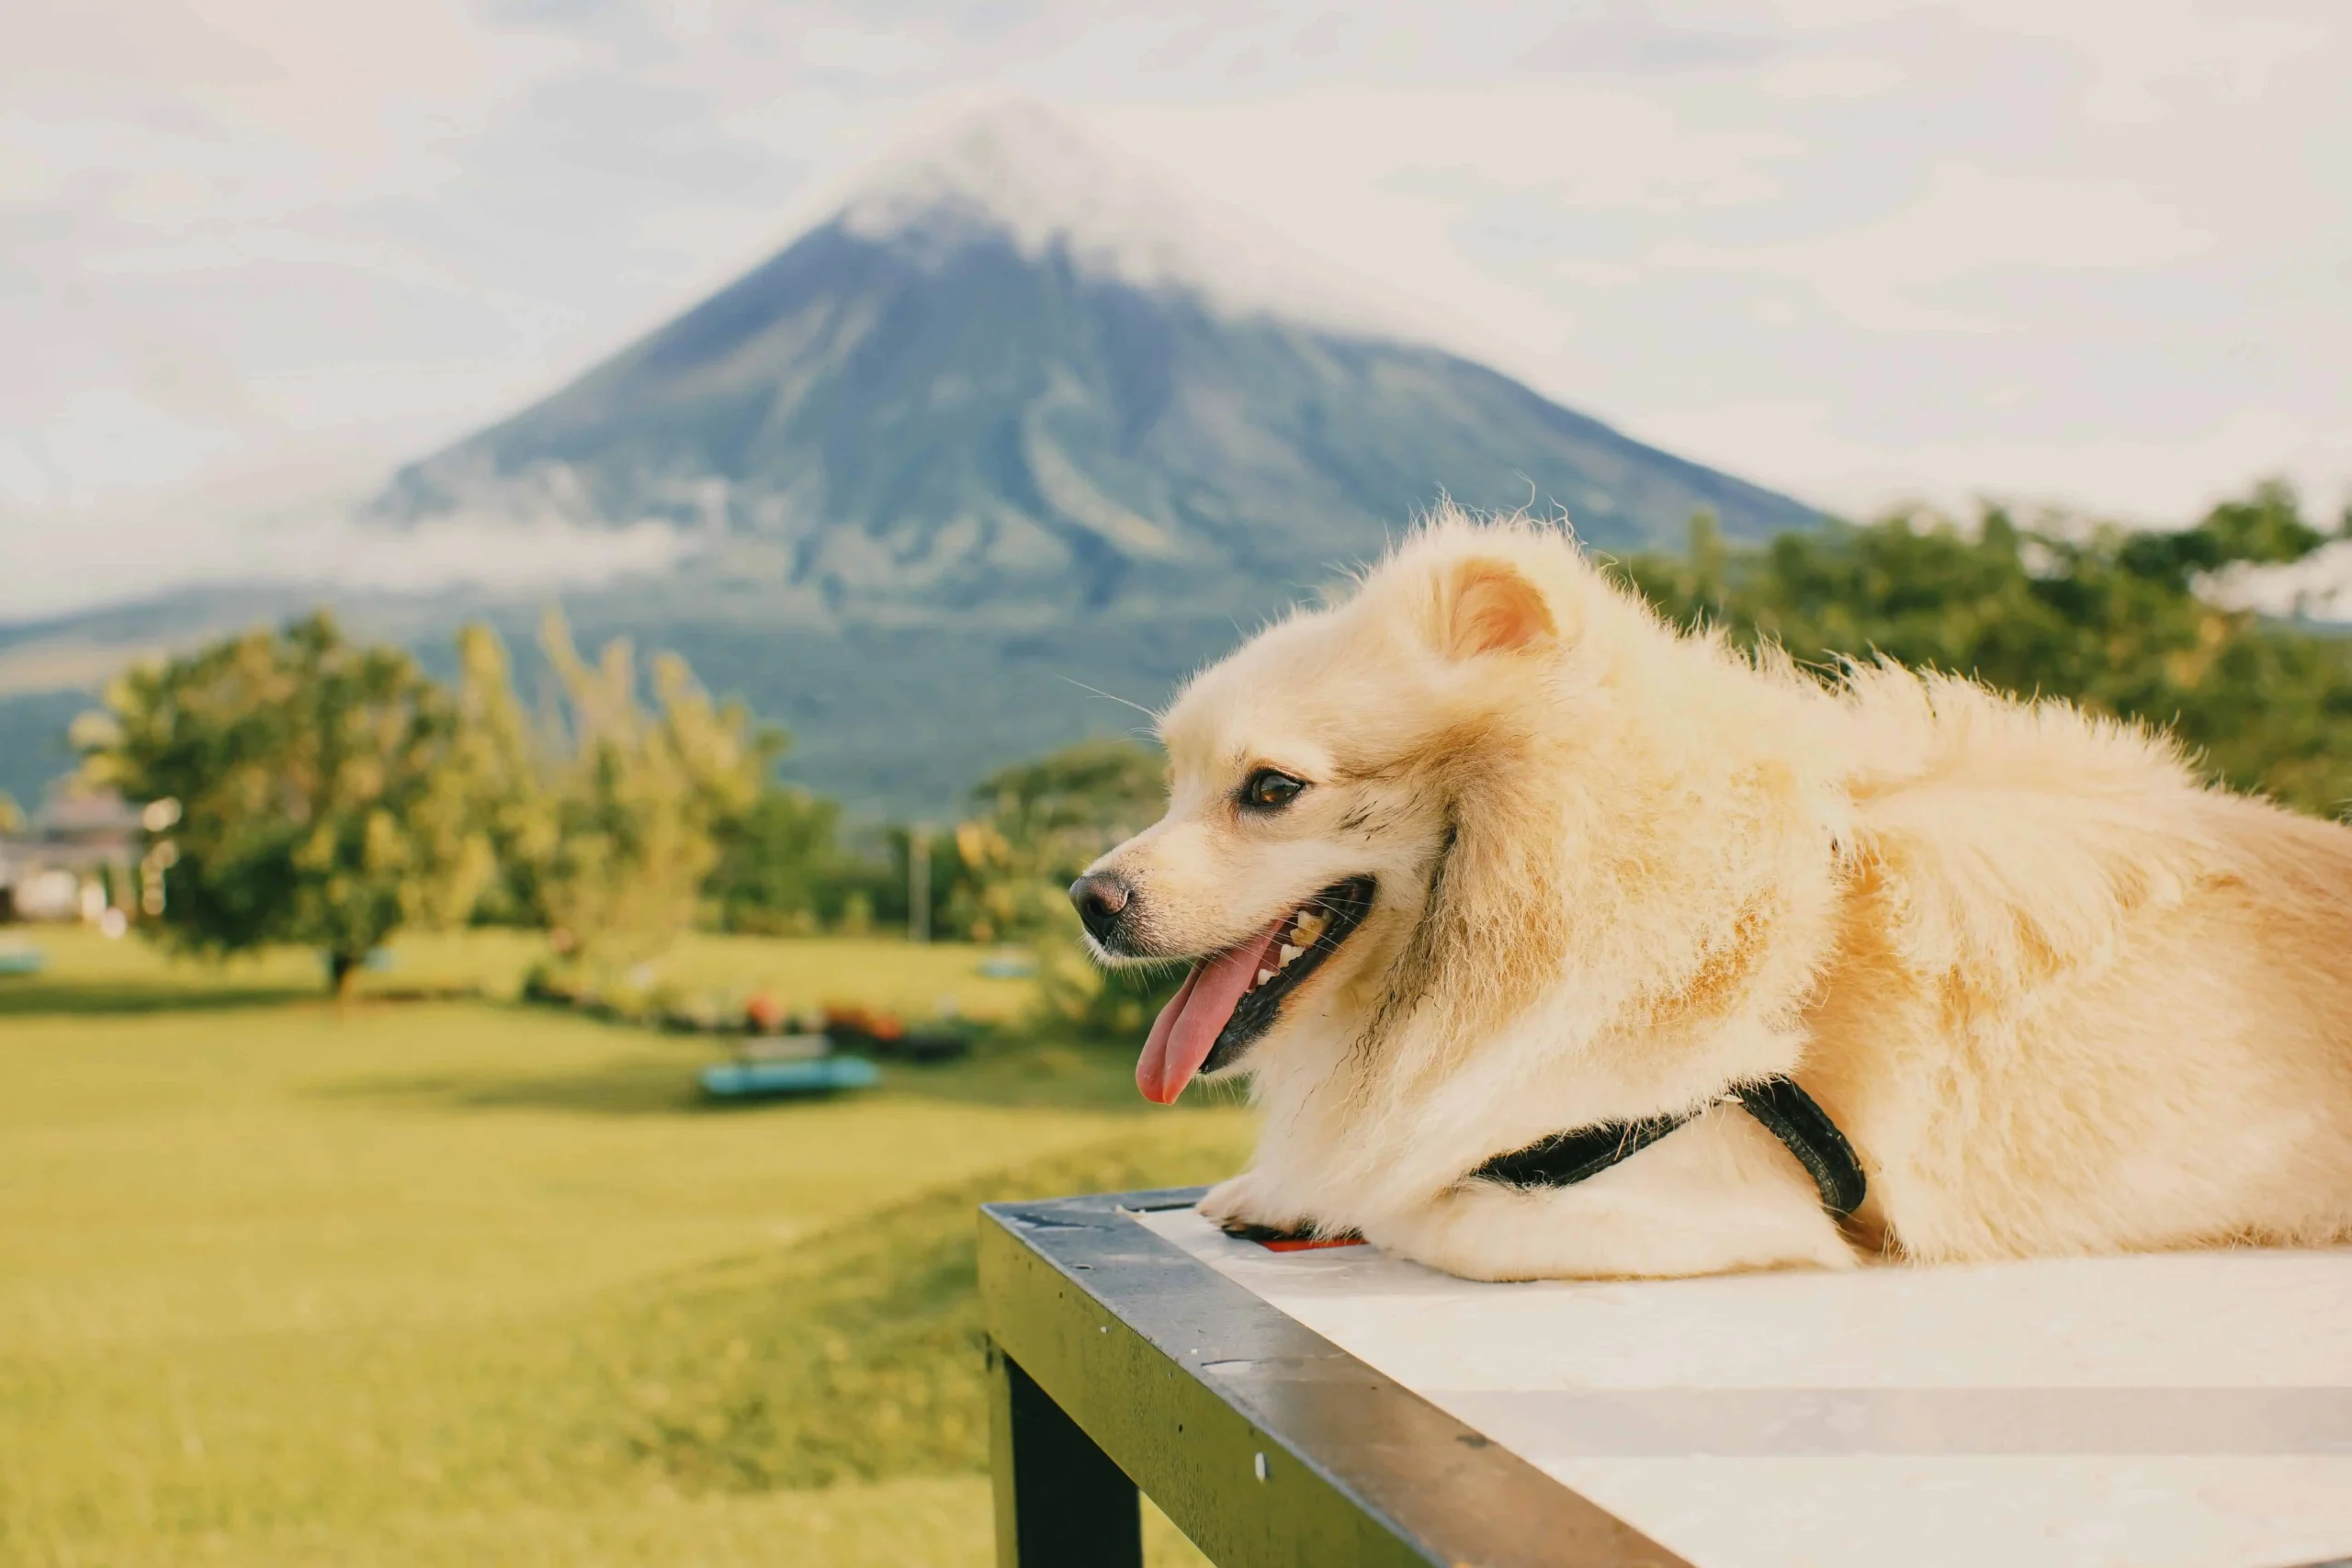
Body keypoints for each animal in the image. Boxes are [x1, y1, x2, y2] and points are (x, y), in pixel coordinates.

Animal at [1077, 510, 2352, 1279]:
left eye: (1270, 789)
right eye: (1174, 784)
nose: (1089, 897)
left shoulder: (1710, 1192)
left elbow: (1417, 1199)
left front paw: (1329, 1192)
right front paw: (1277, 1190)